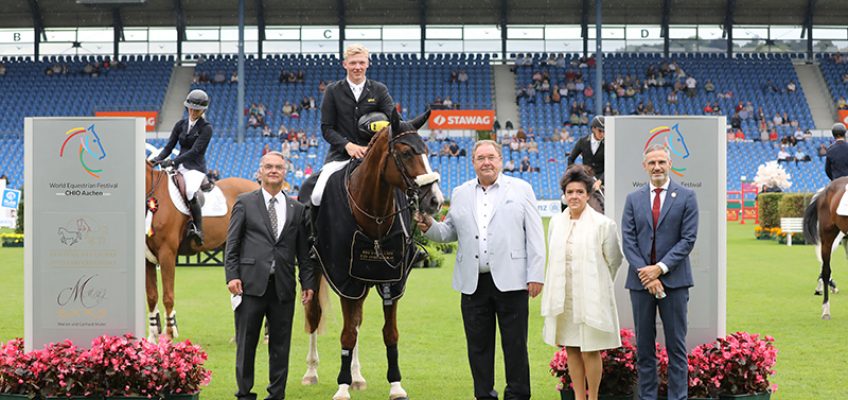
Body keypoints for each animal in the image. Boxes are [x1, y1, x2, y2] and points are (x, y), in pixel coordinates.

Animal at [145, 161, 258, 340]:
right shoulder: (147, 258)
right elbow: (151, 296)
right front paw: (151, 339)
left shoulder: (166, 253)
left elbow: (168, 296)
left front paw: (168, 336)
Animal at [300, 110, 444, 400]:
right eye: (406, 153)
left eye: (426, 151)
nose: (435, 200)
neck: (374, 213)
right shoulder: (345, 281)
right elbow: (346, 334)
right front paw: (341, 387)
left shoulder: (391, 281)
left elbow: (389, 333)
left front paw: (396, 386)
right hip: (316, 273)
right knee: (315, 315)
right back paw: (311, 372)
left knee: (356, 322)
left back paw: (356, 376)